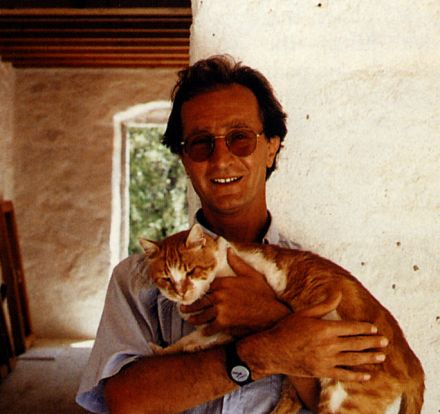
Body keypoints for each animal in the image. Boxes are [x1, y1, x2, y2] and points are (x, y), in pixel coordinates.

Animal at [140, 223, 424, 414]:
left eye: (191, 271)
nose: (180, 291)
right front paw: (163, 350)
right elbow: (192, 341)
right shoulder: (221, 329)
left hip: (344, 397)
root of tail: (412, 361)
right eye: (166, 279)